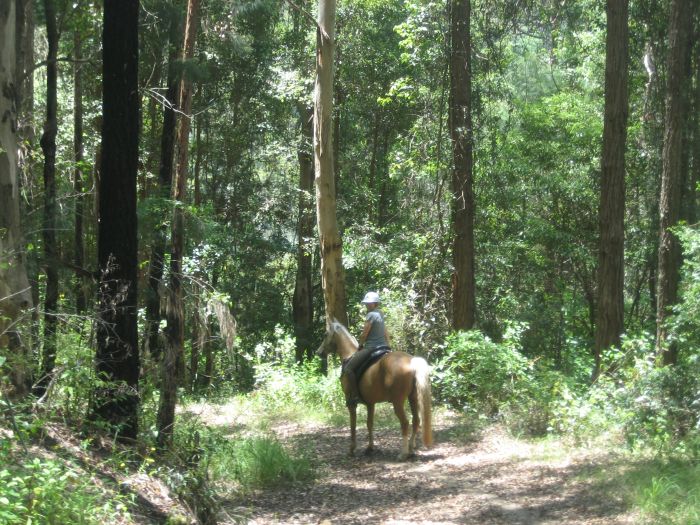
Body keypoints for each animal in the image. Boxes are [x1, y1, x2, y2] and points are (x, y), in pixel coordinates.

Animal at [318, 320, 432, 458]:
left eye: (325, 334)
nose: (319, 352)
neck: (350, 356)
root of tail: (411, 361)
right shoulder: (370, 403)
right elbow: (369, 424)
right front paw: (370, 448)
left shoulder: (351, 402)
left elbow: (353, 424)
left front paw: (352, 449)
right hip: (413, 398)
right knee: (416, 421)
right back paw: (410, 449)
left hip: (398, 402)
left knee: (405, 423)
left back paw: (403, 454)